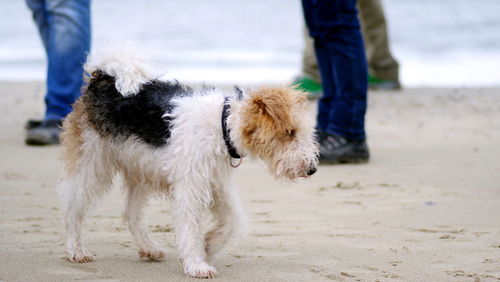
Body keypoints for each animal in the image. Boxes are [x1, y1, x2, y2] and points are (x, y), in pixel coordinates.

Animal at [57, 50, 316, 278]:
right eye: (290, 132)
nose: (311, 169)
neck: (223, 124)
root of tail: (101, 77)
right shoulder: (190, 187)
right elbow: (190, 228)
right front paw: (196, 266)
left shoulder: (216, 183)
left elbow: (234, 219)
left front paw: (210, 246)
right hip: (91, 165)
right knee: (72, 209)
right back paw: (75, 250)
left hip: (139, 170)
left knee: (131, 215)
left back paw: (148, 247)